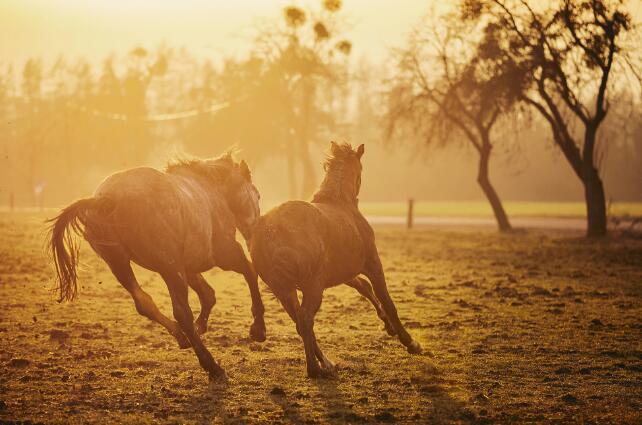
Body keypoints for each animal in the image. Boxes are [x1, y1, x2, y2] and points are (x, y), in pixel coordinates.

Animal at [48, 152, 264, 378]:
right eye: (257, 196)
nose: (254, 232)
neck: (211, 190)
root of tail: (103, 199)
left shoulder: (187, 266)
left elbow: (208, 294)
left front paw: (201, 325)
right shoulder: (224, 254)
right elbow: (250, 272)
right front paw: (258, 328)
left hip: (119, 263)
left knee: (144, 303)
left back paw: (181, 336)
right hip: (169, 268)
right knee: (181, 312)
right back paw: (211, 365)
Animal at [249, 142, 420, 378]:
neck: (341, 204)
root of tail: (270, 229)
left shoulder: (344, 272)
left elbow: (364, 288)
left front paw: (389, 326)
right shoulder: (372, 264)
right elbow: (386, 299)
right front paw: (410, 342)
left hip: (284, 290)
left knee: (300, 323)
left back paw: (325, 363)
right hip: (311, 286)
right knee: (305, 320)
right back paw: (315, 368)